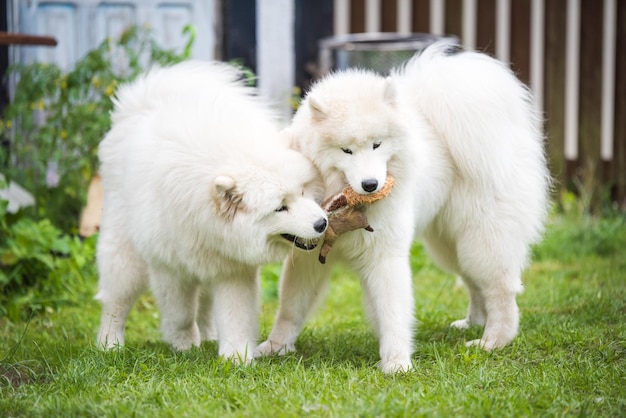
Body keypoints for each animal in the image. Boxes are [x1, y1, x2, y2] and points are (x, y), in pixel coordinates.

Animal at [95, 61, 330, 362]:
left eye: (302, 192)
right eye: (280, 207)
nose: (322, 223)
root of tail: (140, 102)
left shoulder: (231, 269)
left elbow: (234, 315)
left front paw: (236, 356)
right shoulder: (169, 267)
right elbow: (180, 314)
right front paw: (184, 344)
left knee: (205, 303)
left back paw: (208, 335)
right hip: (125, 253)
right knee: (116, 301)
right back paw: (109, 344)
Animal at [256, 41, 548, 372]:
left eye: (377, 144)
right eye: (346, 150)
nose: (371, 184)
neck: (346, 203)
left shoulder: (385, 254)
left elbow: (393, 311)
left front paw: (396, 361)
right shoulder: (306, 258)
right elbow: (290, 307)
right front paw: (276, 346)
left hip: (482, 237)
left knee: (500, 288)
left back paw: (494, 340)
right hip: (450, 243)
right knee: (475, 282)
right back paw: (472, 323)